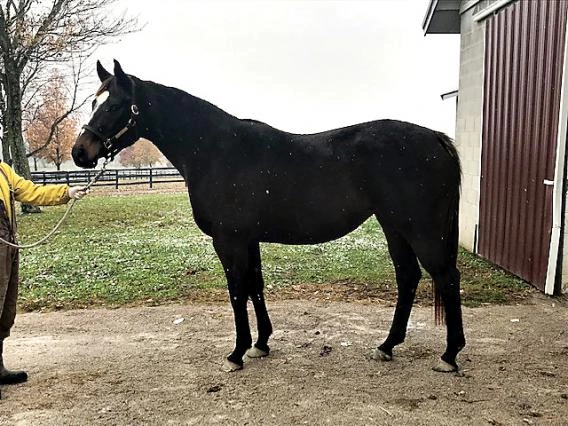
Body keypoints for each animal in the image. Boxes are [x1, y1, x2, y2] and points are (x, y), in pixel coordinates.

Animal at [71, 60, 464, 372]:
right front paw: (261, 344)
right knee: (408, 277)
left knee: (446, 277)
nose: (80, 153)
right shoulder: (248, 239)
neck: (215, 150)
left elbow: (236, 291)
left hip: (421, 229)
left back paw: (449, 355)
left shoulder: (228, 241)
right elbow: (255, 286)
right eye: (94, 102)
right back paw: (387, 345)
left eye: (116, 105)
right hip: (393, 225)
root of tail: (436, 138)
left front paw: (237, 353)